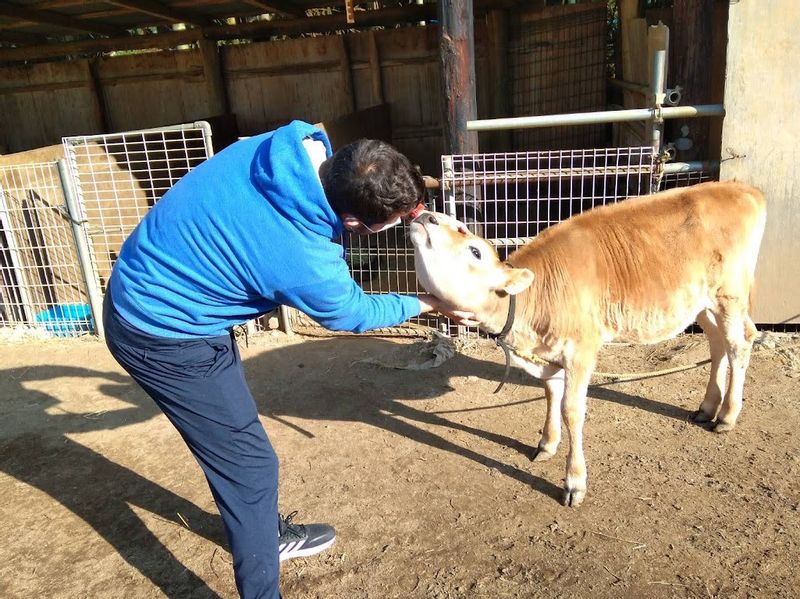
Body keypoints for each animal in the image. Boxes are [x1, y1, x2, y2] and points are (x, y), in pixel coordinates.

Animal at [412, 182, 768, 506]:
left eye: (475, 251)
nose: (426, 215)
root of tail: (741, 187)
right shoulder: (549, 353)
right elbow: (551, 394)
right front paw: (547, 443)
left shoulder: (581, 350)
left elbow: (572, 410)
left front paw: (574, 482)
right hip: (702, 304)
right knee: (717, 344)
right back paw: (708, 407)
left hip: (729, 295)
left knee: (739, 344)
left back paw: (727, 416)